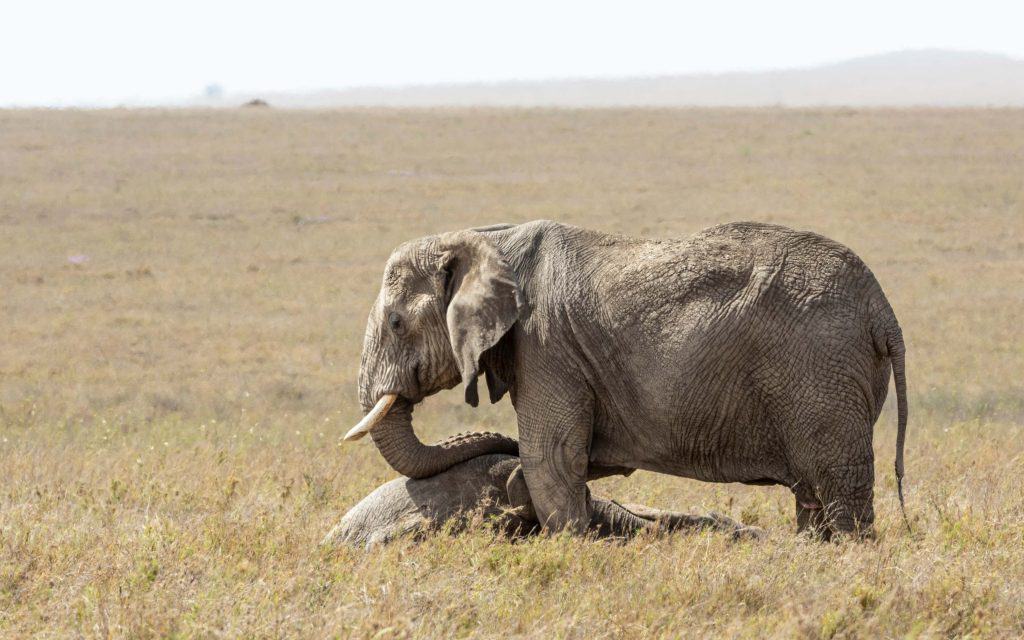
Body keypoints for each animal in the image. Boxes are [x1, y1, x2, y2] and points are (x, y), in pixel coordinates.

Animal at [346, 221, 913, 540]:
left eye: (395, 323)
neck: (486, 239)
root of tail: (883, 309)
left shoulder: (546, 347)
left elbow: (551, 458)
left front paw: (569, 554)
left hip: (820, 369)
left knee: (838, 484)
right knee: (812, 492)